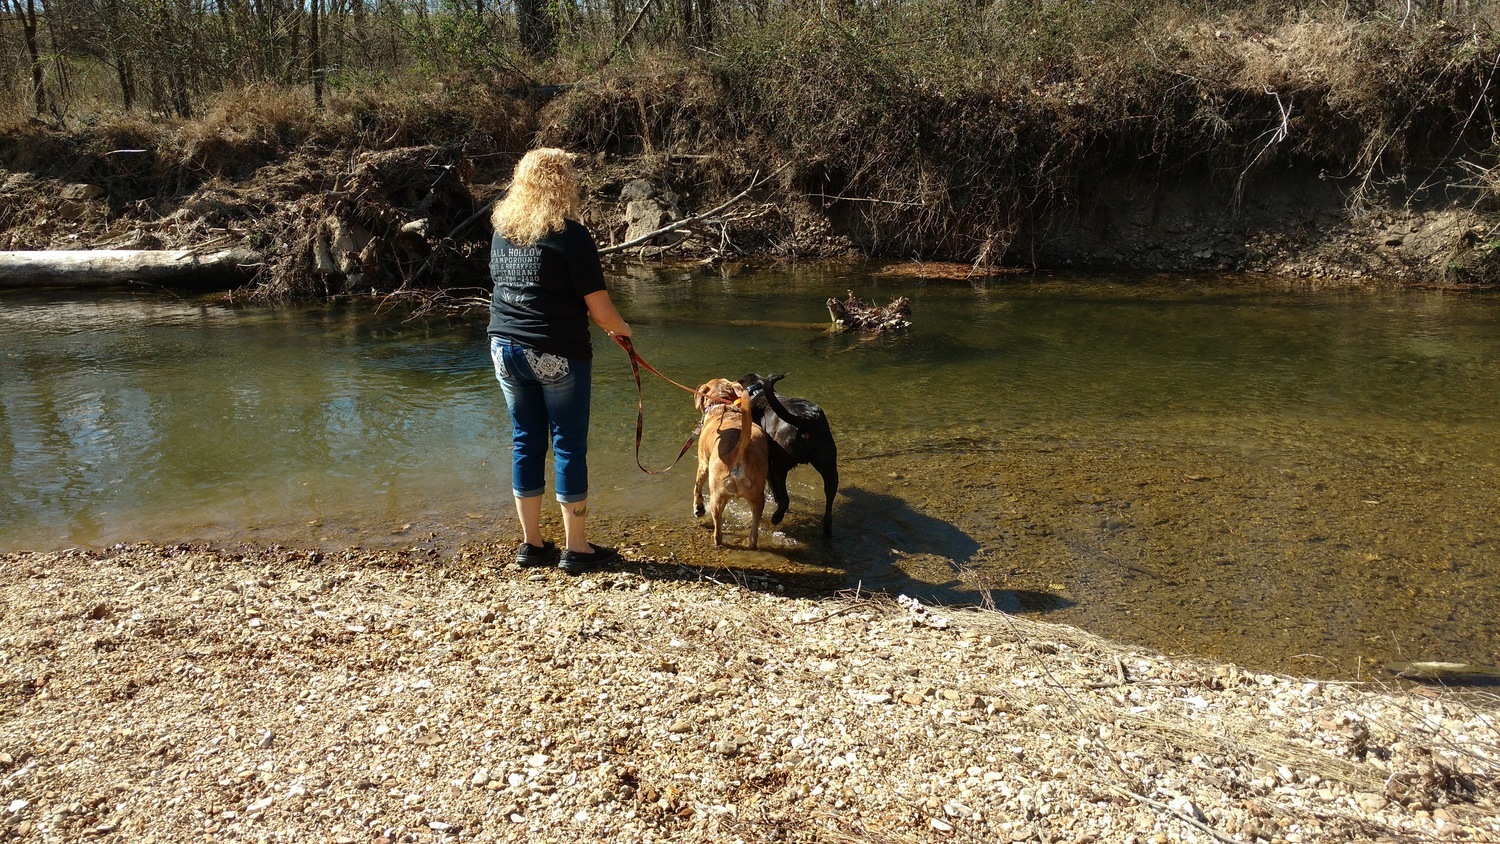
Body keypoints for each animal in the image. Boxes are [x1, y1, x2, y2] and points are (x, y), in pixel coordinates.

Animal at [687, 379, 768, 551]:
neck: (722, 405)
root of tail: (740, 450)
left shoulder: (703, 464)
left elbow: (697, 488)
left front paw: (698, 508)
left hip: (716, 496)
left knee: (718, 530)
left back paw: (716, 541)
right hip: (757, 498)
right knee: (754, 533)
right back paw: (751, 543)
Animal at [741, 374, 846, 539]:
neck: (757, 392)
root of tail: (805, 418)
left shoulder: (769, 470)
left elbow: (775, 492)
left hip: (778, 467)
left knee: (785, 499)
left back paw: (776, 517)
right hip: (829, 467)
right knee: (829, 500)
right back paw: (827, 530)